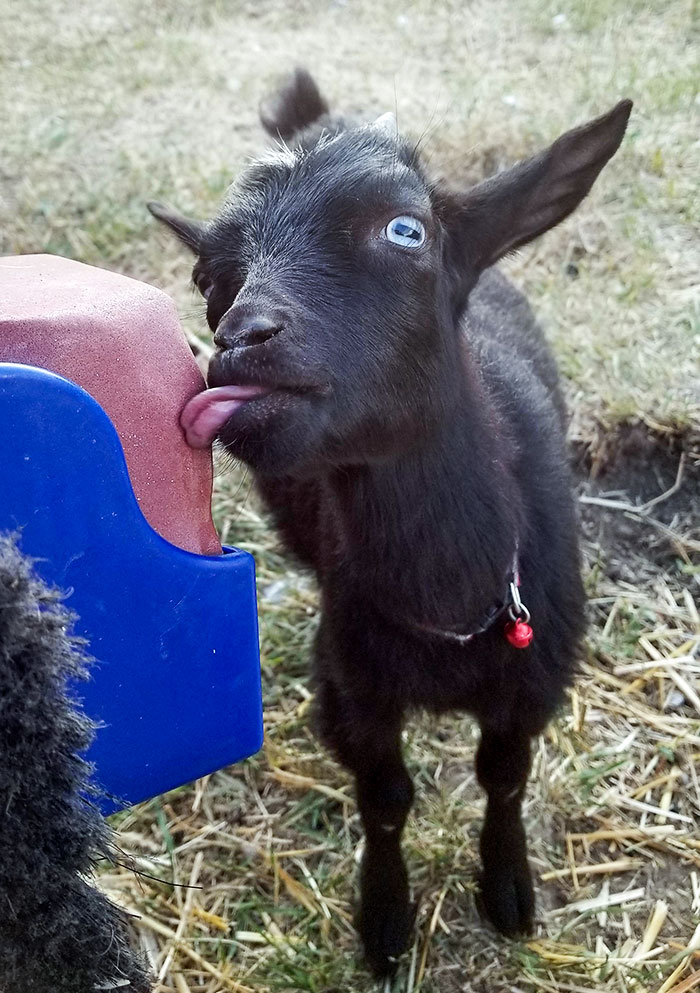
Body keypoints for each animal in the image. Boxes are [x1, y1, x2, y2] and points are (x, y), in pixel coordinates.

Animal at [149, 70, 631, 977]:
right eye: (205, 274)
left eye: (405, 229)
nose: (241, 339)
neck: (450, 593)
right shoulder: (356, 684)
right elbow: (385, 799)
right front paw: (384, 917)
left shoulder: (534, 680)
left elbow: (504, 775)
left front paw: (507, 886)